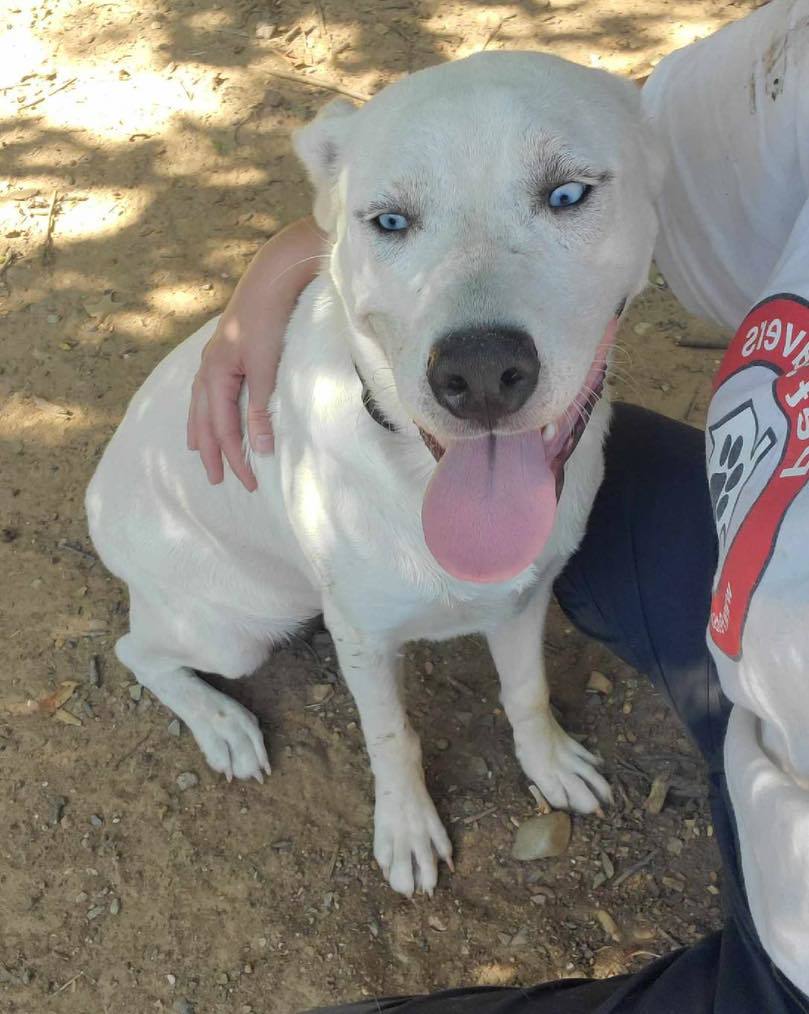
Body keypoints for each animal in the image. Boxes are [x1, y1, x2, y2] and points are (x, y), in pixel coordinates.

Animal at [85, 53, 660, 896]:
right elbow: (391, 736)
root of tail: (99, 493)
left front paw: (548, 762)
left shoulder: (523, 600)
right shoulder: (360, 636)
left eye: (566, 194)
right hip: (236, 631)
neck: (417, 478)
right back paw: (222, 724)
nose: (478, 374)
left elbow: (525, 692)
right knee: (140, 651)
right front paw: (407, 828)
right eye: (388, 221)